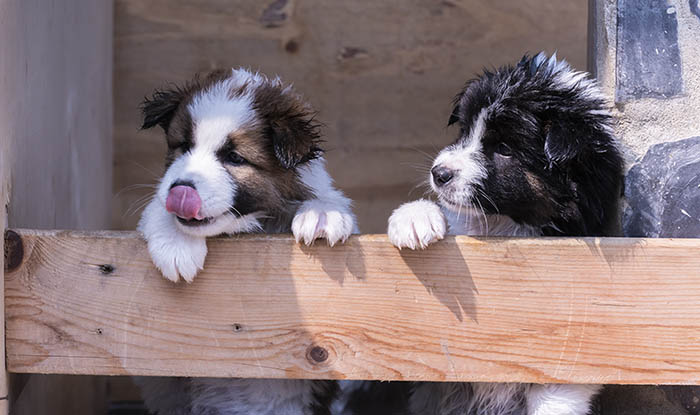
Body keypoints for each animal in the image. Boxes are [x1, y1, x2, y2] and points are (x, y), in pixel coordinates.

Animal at [388, 52, 624, 415]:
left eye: (504, 148)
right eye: (465, 131)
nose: (439, 173)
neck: (505, 225)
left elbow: (556, 397)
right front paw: (414, 218)